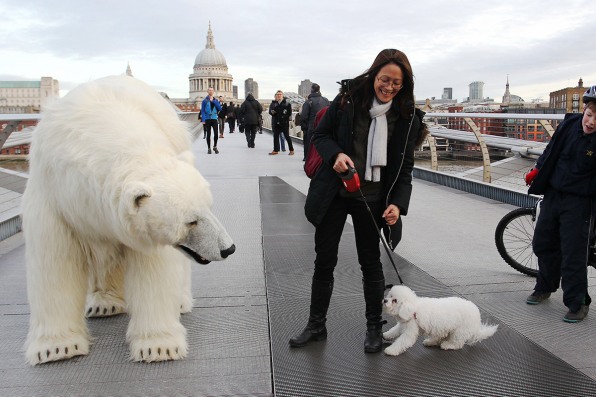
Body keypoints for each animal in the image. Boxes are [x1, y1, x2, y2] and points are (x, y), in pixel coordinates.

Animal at [23, 75, 234, 366]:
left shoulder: (145, 228)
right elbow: (55, 262)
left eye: (208, 207)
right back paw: (105, 303)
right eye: (191, 221)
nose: (228, 248)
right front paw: (56, 348)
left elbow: (153, 268)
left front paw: (159, 346)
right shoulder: (55, 200)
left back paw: (178, 301)